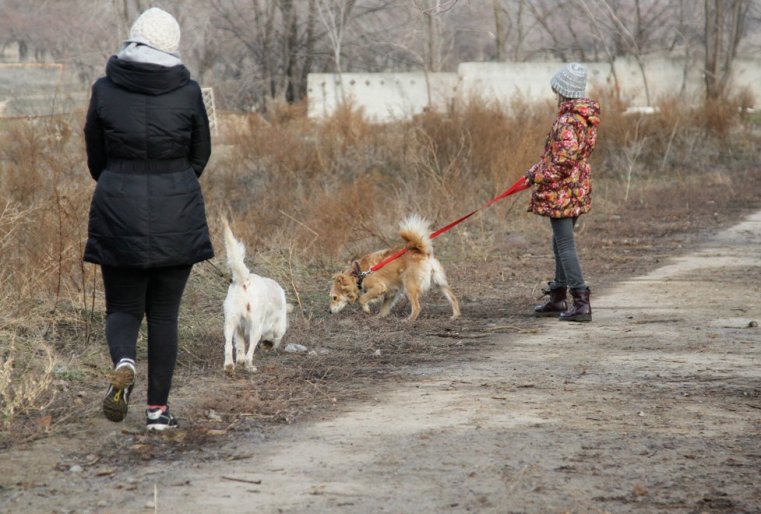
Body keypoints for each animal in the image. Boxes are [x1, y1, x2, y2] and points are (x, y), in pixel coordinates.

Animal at [224, 216, 290, 372]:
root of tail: (245, 282)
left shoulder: (239, 328)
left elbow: (240, 347)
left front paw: (239, 361)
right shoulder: (279, 326)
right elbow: (276, 337)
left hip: (230, 321)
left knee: (228, 345)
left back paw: (229, 366)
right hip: (256, 326)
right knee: (250, 352)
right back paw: (250, 367)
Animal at [326, 215, 458, 320]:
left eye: (334, 297)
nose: (329, 312)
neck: (359, 273)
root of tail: (422, 252)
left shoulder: (379, 287)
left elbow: (362, 298)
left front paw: (366, 309)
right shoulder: (390, 293)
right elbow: (384, 308)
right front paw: (379, 317)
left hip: (409, 286)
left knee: (417, 307)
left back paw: (409, 320)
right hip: (440, 283)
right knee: (453, 298)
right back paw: (455, 316)